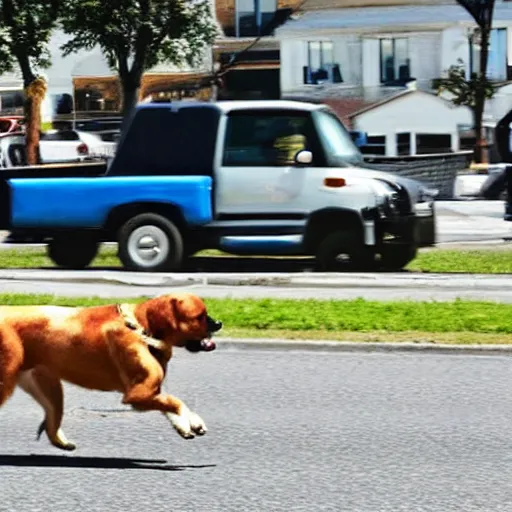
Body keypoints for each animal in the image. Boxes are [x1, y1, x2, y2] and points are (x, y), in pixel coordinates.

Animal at [0, 294, 222, 450]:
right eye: (200, 317)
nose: (219, 323)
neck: (142, 327)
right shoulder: (137, 395)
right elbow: (176, 402)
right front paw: (187, 421)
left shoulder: (150, 392)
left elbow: (169, 404)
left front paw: (189, 423)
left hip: (50, 390)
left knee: (51, 423)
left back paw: (62, 442)